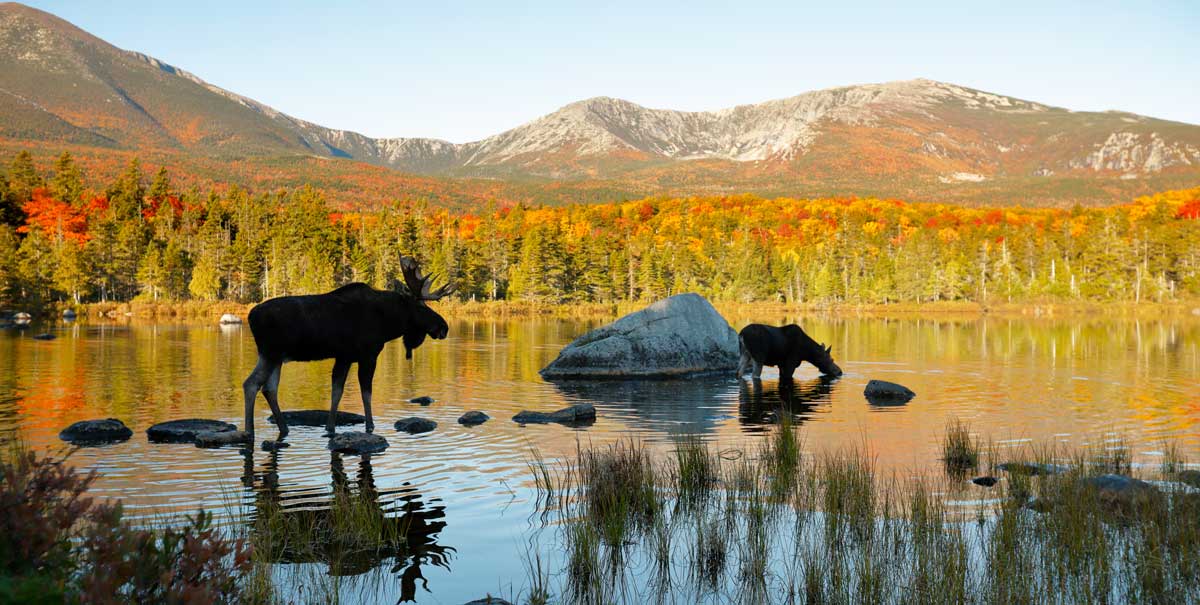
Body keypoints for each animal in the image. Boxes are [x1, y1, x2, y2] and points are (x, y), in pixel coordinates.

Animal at [241, 255, 451, 439]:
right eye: (421, 307)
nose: (444, 327)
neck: (388, 323)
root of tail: (250, 317)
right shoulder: (368, 355)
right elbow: (366, 393)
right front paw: (370, 426)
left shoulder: (345, 356)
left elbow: (337, 391)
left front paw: (330, 427)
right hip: (270, 353)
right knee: (251, 384)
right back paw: (250, 431)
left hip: (276, 357)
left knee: (269, 388)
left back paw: (283, 427)